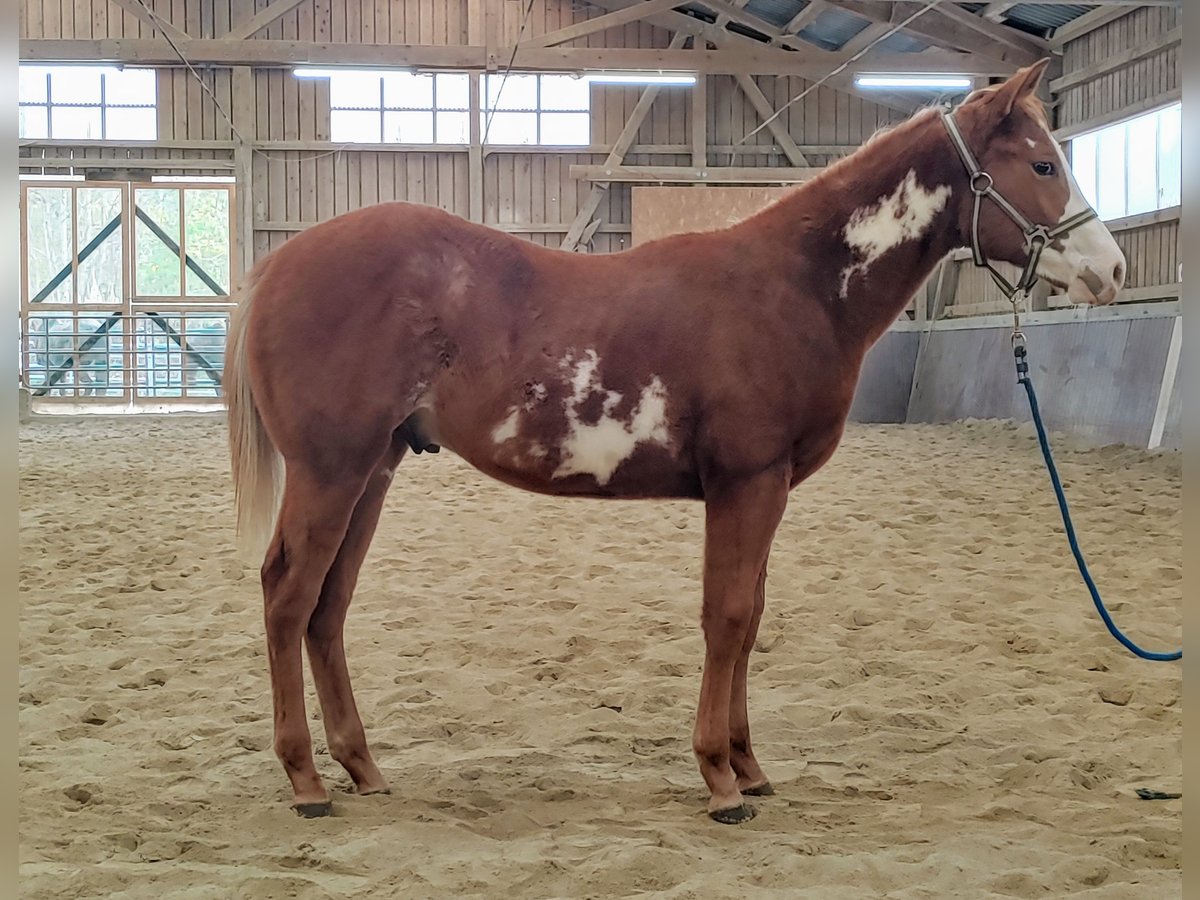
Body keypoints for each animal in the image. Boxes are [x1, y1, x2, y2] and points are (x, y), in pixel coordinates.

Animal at [225, 60, 1123, 830]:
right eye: (1043, 165)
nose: (1111, 271)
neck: (793, 287)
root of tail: (278, 266)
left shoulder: (767, 489)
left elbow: (751, 617)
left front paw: (750, 766)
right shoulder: (745, 482)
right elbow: (725, 618)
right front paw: (721, 780)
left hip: (372, 471)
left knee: (328, 608)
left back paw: (361, 768)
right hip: (330, 471)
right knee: (287, 596)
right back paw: (305, 780)